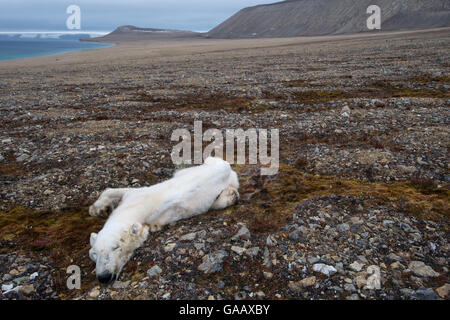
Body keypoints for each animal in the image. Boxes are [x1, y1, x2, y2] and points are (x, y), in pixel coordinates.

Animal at [87, 158, 239, 284]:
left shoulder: (143, 205)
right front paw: (99, 209)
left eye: (116, 247)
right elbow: (112, 191)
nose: (104, 276)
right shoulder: (132, 197)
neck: (129, 209)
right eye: (95, 253)